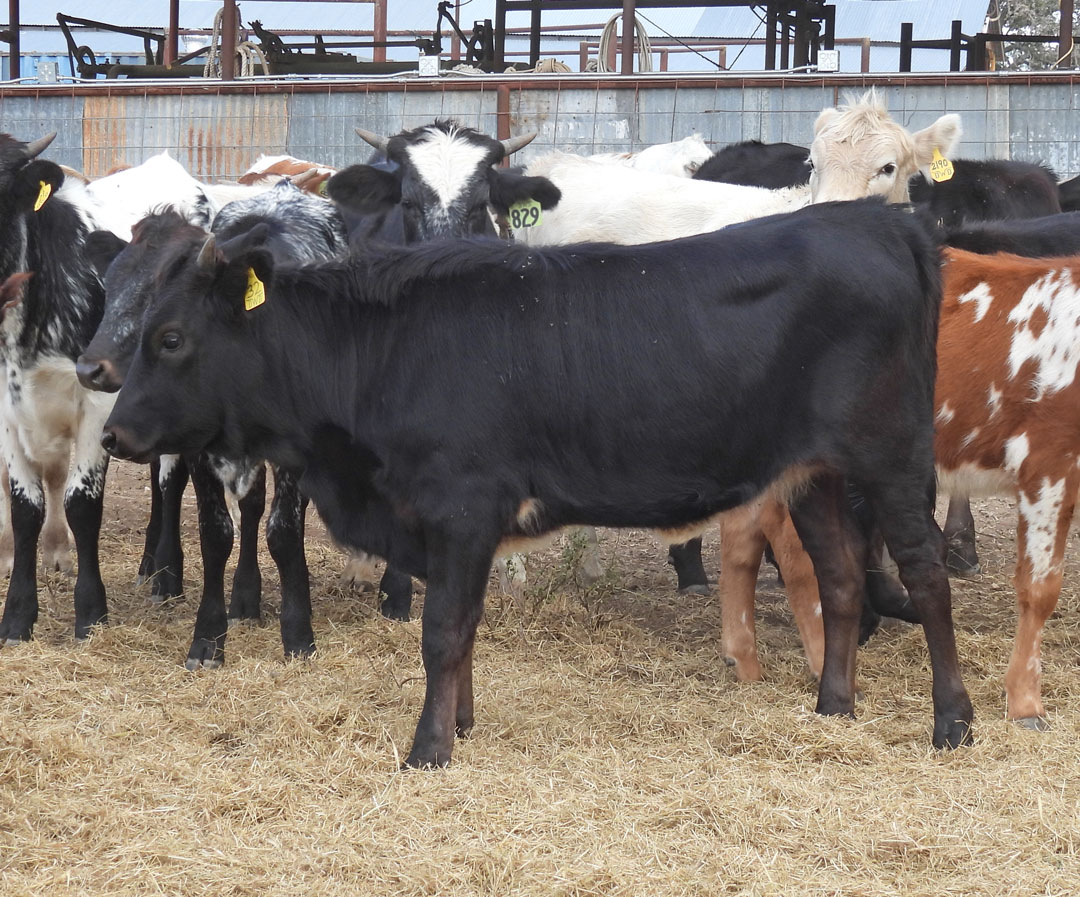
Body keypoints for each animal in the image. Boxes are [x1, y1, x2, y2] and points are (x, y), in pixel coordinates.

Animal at [105, 199, 976, 768]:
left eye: (170, 337)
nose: (113, 431)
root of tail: (877, 217)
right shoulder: (451, 526)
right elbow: (463, 628)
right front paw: (460, 723)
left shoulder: (461, 505)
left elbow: (443, 629)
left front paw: (428, 747)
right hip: (813, 471)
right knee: (842, 576)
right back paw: (833, 706)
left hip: (891, 455)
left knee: (927, 573)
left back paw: (953, 721)